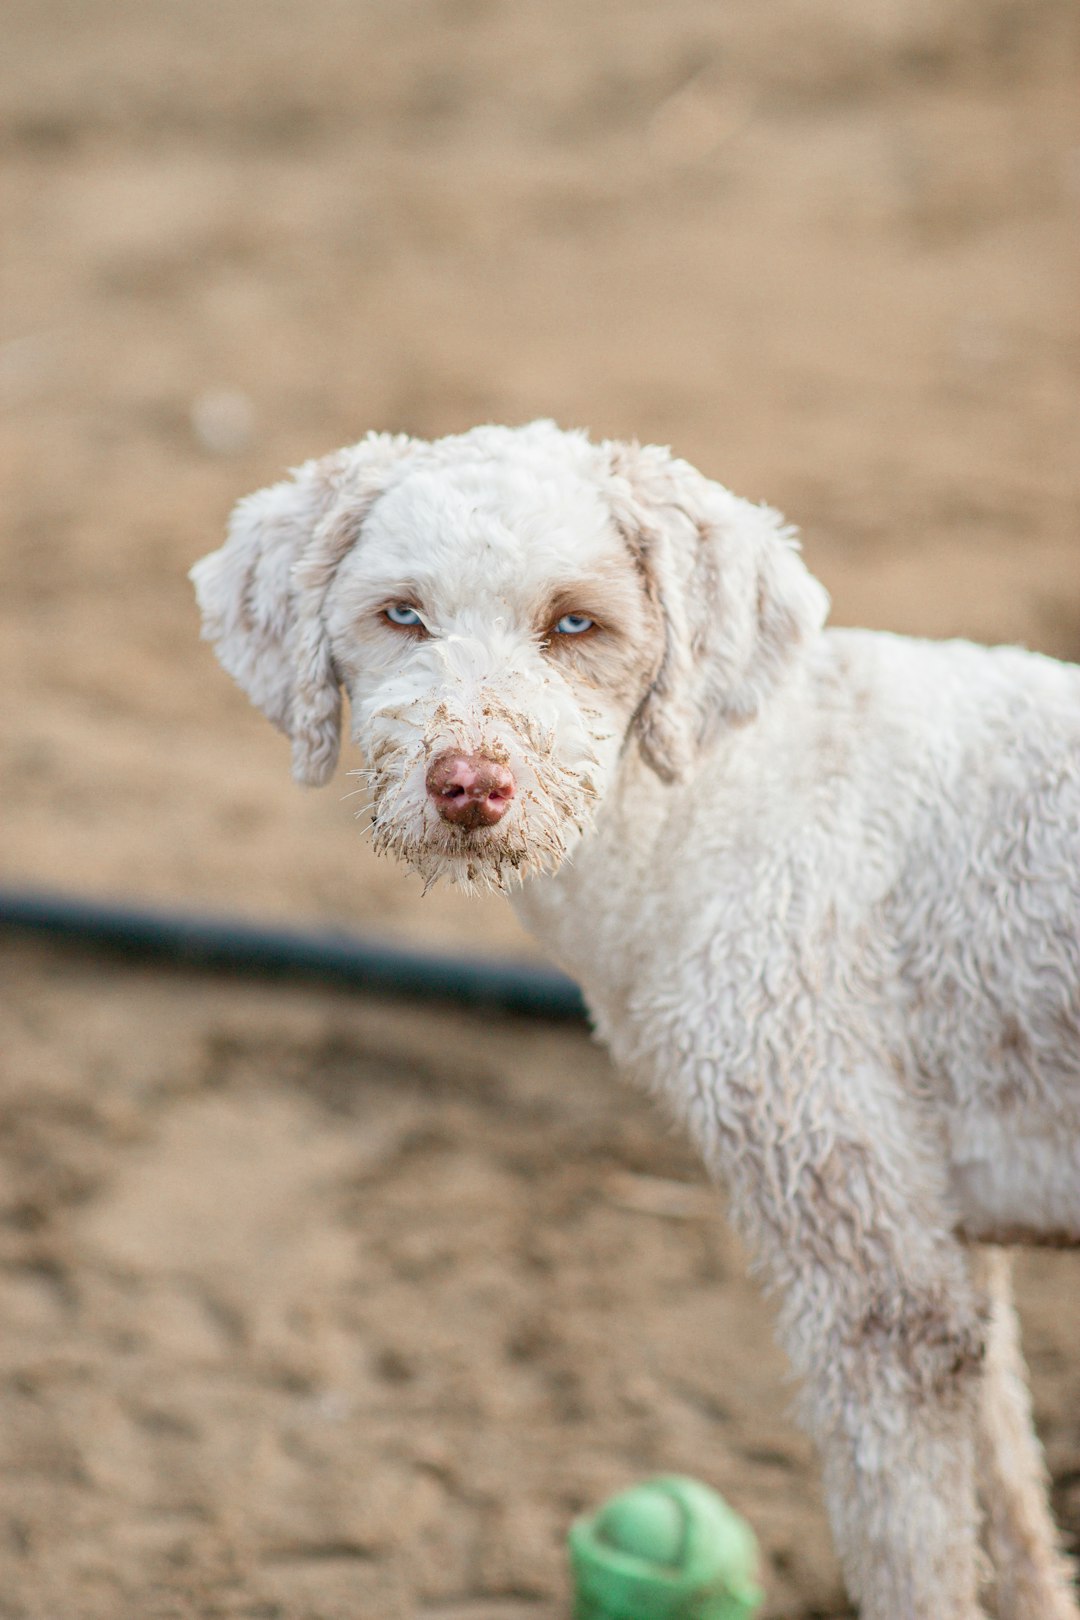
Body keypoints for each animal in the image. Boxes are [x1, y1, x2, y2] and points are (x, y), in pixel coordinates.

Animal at [194, 421, 1080, 1620]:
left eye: (577, 623)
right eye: (402, 614)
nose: (469, 785)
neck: (702, 793)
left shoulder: (871, 1280)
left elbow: (917, 1561)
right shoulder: (948, 1236)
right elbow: (1016, 1512)